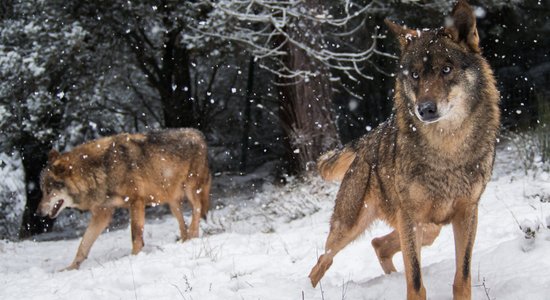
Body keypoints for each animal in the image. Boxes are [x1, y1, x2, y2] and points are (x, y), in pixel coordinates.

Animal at [37, 127, 211, 270]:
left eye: (49, 191)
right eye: (42, 191)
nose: (38, 213)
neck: (101, 170)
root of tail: (199, 134)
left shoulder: (136, 202)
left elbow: (135, 235)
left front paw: (134, 258)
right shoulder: (103, 213)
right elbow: (83, 244)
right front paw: (71, 268)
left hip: (190, 190)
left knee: (197, 208)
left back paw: (194, 235)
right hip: (172, 202)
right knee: (183, 223)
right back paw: (185, 240)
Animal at [308, 1, 502, 298]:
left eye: (446, 69)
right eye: (415, 74)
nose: (426, 109)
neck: (447, 149)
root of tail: (367, 140)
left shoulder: (468, 211)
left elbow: (463, 276)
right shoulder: (410, 216)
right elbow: (417, 282)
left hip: (426, 227)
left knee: (378, 243)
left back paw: (390, 278)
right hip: (351, 227)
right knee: (322, 261)